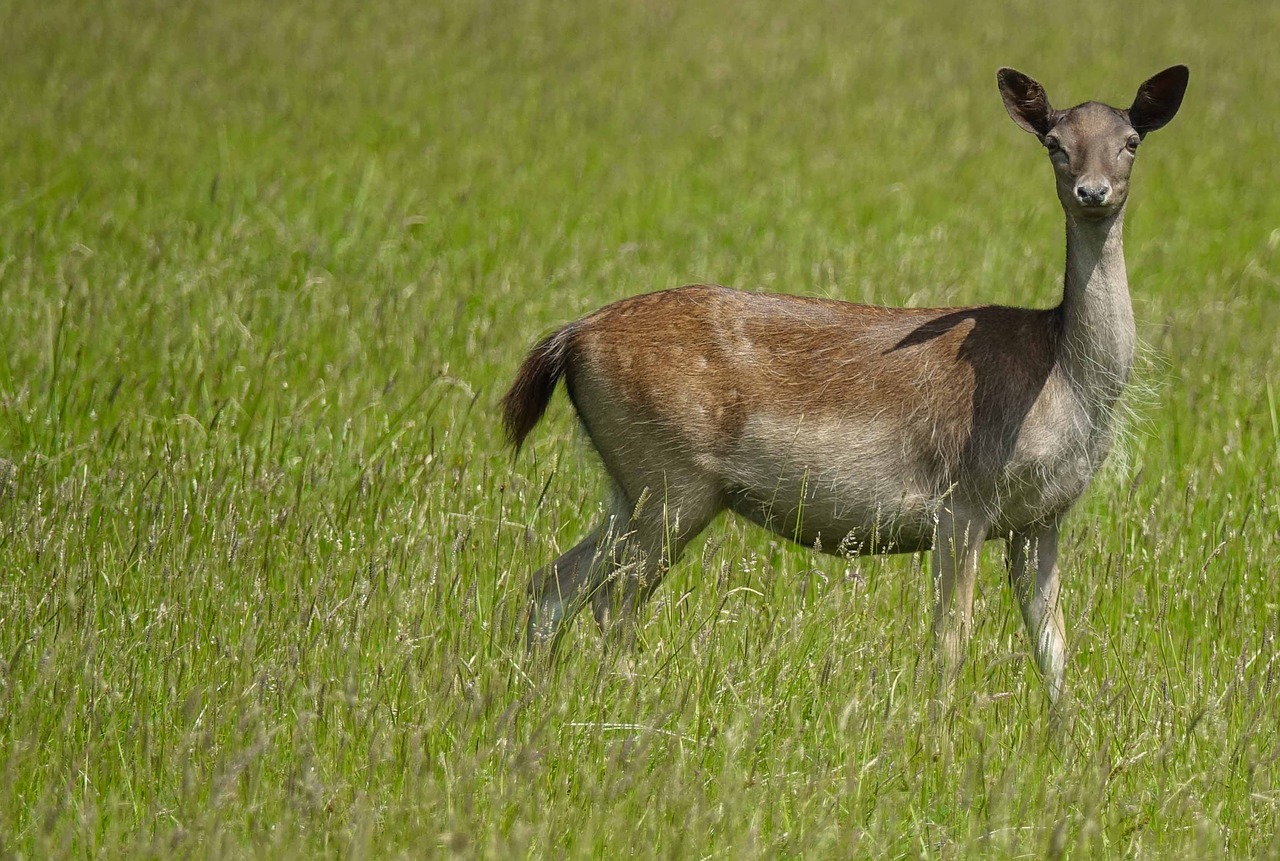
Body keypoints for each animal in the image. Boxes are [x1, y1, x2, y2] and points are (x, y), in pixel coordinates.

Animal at [499, 65, 1187, 695]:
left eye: (1131, 140)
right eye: (1054, 141)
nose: (1093, 190)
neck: (1063, 383)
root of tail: (569, 337)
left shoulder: (1043, 518)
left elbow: (1054, 651)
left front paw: (1062, 740)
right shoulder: (961, 499)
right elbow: (951, 642)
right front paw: (939, 736)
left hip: (629, 486)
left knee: (552, 583)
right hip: (671, 479)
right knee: (611, 601)